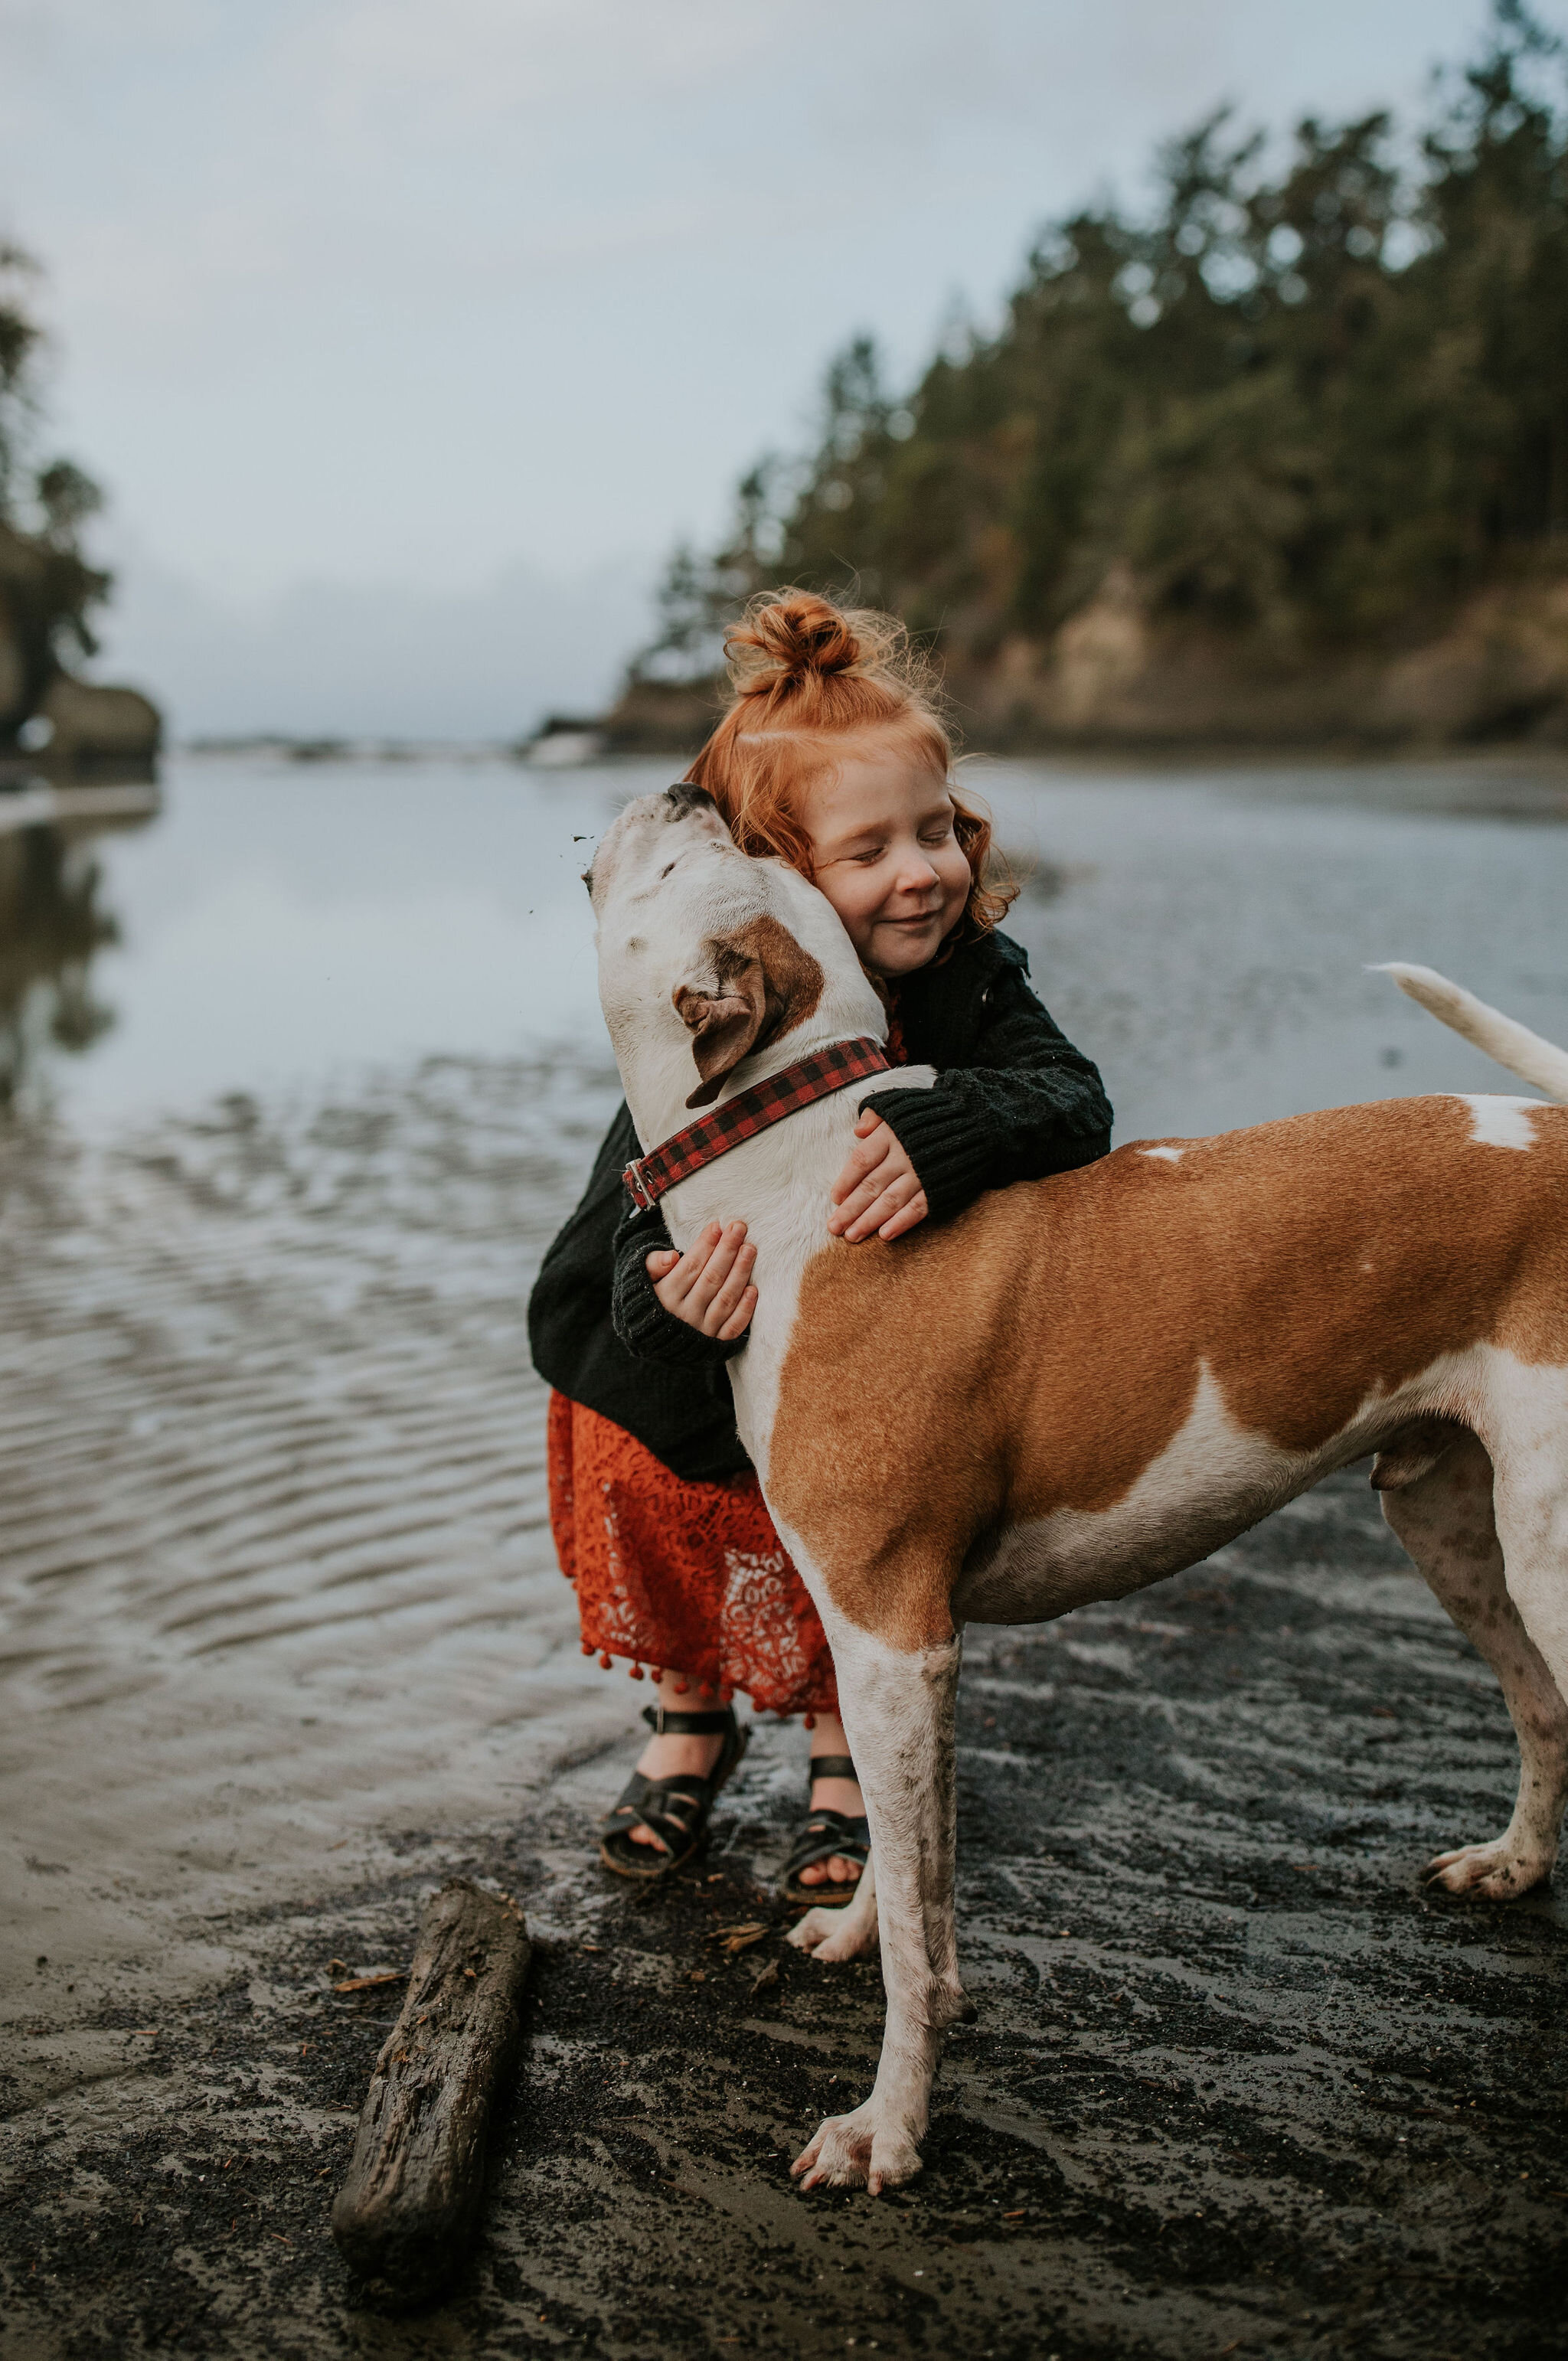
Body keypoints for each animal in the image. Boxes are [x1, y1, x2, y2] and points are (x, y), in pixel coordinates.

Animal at [588, 789, 1567, 2190]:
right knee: (1540, 1704)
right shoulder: (900, 1645)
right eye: (729, 849)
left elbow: (917, 1928)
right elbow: (912, 1863)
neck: (789, 1160)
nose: (687, 791)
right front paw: (860, 1933)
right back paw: (1513, 1863)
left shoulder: (891, 1634)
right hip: (1452, 1522)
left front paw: (888, 2127)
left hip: (1548, 1547)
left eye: (681, 861)